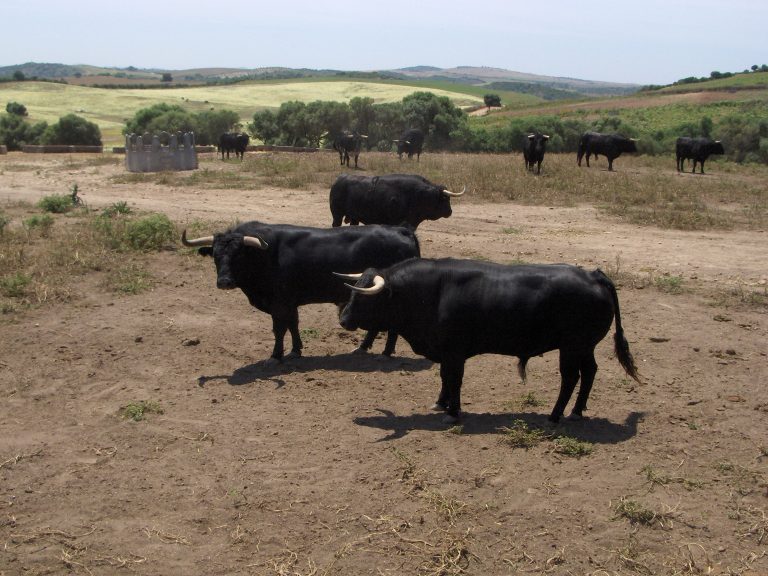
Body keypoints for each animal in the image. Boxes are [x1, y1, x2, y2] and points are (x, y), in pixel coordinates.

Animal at [182, 220, 420, 360]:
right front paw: (296, 349)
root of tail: (400, 230)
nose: (224, 281)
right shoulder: (289, 303)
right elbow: (293, 325)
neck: (265, 256)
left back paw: (385, 352)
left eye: (239, 254)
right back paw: (364, 347)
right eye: (215, 255)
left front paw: (276, 355)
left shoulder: (279, 303)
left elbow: (279, 329)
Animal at [328, 173, 464, 230]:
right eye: (445, 199)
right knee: (336, 225)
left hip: (354, 218)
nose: (450, 211)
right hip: (337, 215)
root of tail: (338, 180)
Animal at [340, 258, 640, 420]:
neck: (430, 292)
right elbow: (444, 378)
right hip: (584, 347)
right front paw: (441, 403)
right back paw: (576, 411)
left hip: (572, 347)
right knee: (589, 372)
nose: (343, 320)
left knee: (571, 378)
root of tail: (594, 275)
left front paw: (453, 412)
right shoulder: (446, 353)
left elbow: (454, 379)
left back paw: (555, 416)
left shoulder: (455, 352)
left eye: (365, 298)